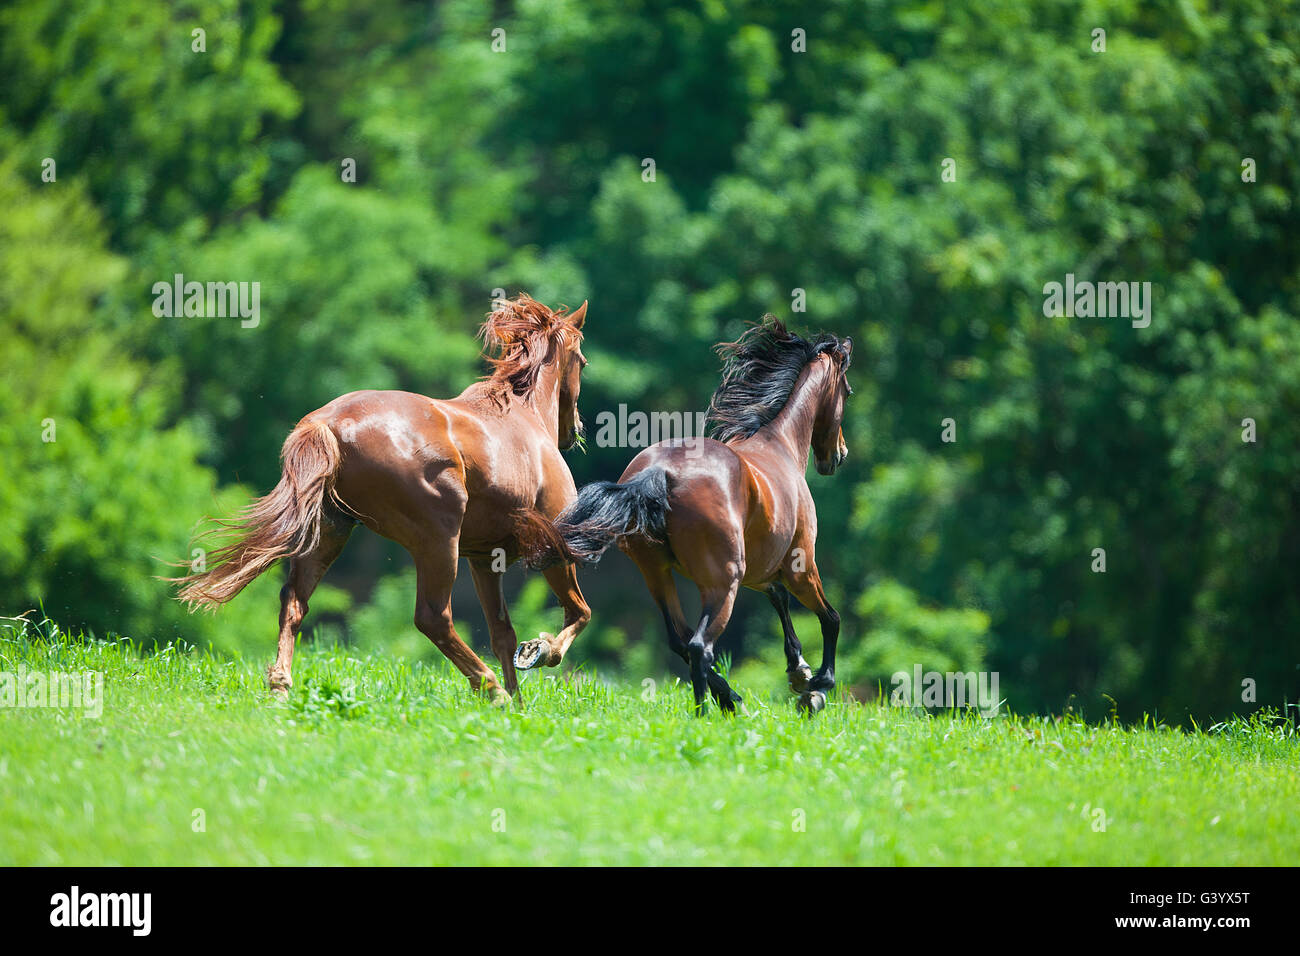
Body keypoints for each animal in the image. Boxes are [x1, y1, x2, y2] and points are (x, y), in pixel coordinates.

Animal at [175, 295, 592, 707]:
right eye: (583, 361)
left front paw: (520, 704)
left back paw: (280, 685)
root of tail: (328, 423)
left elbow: (502, 633)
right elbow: (578, 613)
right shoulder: (554, 545)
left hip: (330, 532)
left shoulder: (485, 557)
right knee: (432, 617)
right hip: (438, 540)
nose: (576, 429)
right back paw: (491, 689)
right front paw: (540, 652)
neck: (523, 417)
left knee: (294, 600)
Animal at [553, 317, 847, 712]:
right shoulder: (799, 566)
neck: (779, 444)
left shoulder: (760, 571)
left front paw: (799, 670)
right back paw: (710, 711)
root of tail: (661, 473)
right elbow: (830, 617)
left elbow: (779, 598)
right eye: (847, 390)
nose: (839, 455)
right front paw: (817, 687)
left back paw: (727, 699)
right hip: (724, 582)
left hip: (659, 575)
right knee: (699, 647)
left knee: (681, 641)